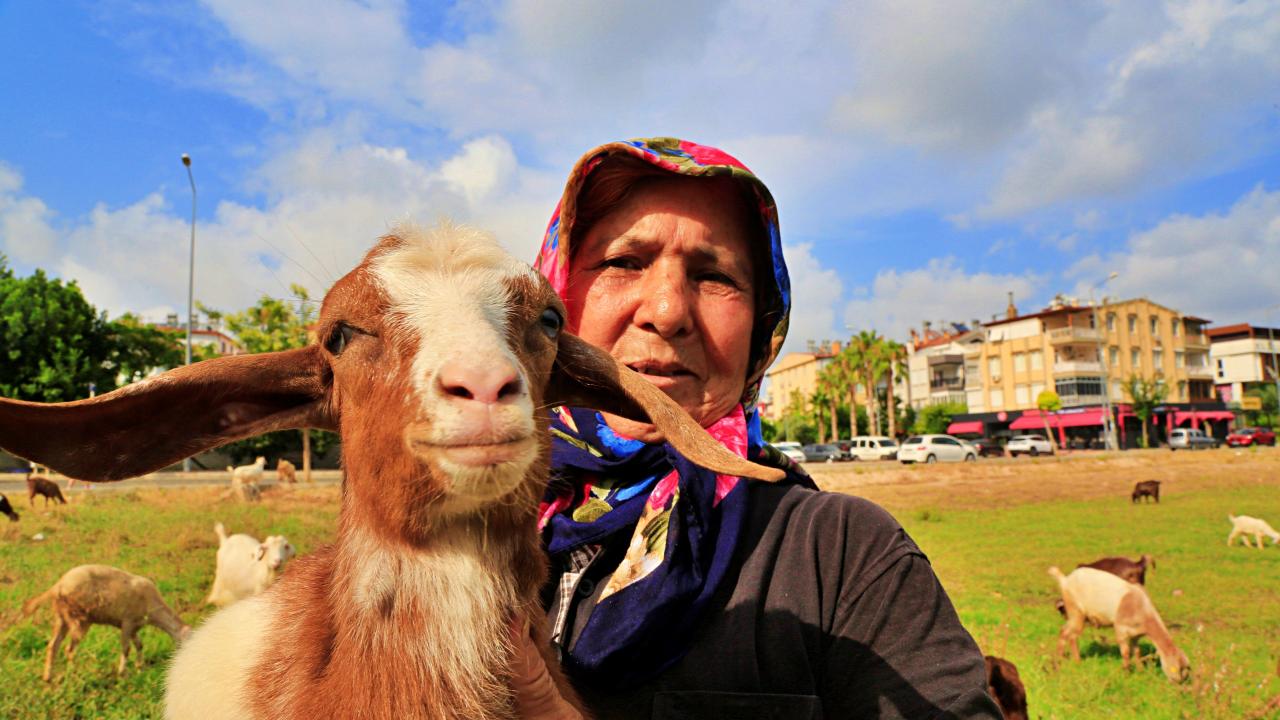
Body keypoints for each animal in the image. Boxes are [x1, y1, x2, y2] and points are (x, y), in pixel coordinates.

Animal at [22, 564, 191, 682]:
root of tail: (58, 585)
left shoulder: (135, 627)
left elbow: (139, 645)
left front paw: (139, 668)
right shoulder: (127, 622)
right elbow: (126, 648)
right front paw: (122, 673)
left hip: (62, 616)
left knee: (53, 646)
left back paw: (48, 677)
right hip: (79, 618)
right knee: (69, 649)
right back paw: (74, 673)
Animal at [1049, 566, 1189, 683]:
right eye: (1177, 668)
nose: (1178, 685)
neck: (1142, 609)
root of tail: (1065, 580)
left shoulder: (1135, 635)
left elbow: (1137, 652)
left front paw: (1140, 670)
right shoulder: (1120, 629)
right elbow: (1126, 652)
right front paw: (1126, 673)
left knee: (1065, 632)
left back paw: (1063, 659)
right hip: (1075, 610)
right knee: (1070, 635)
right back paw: (1071, 662)